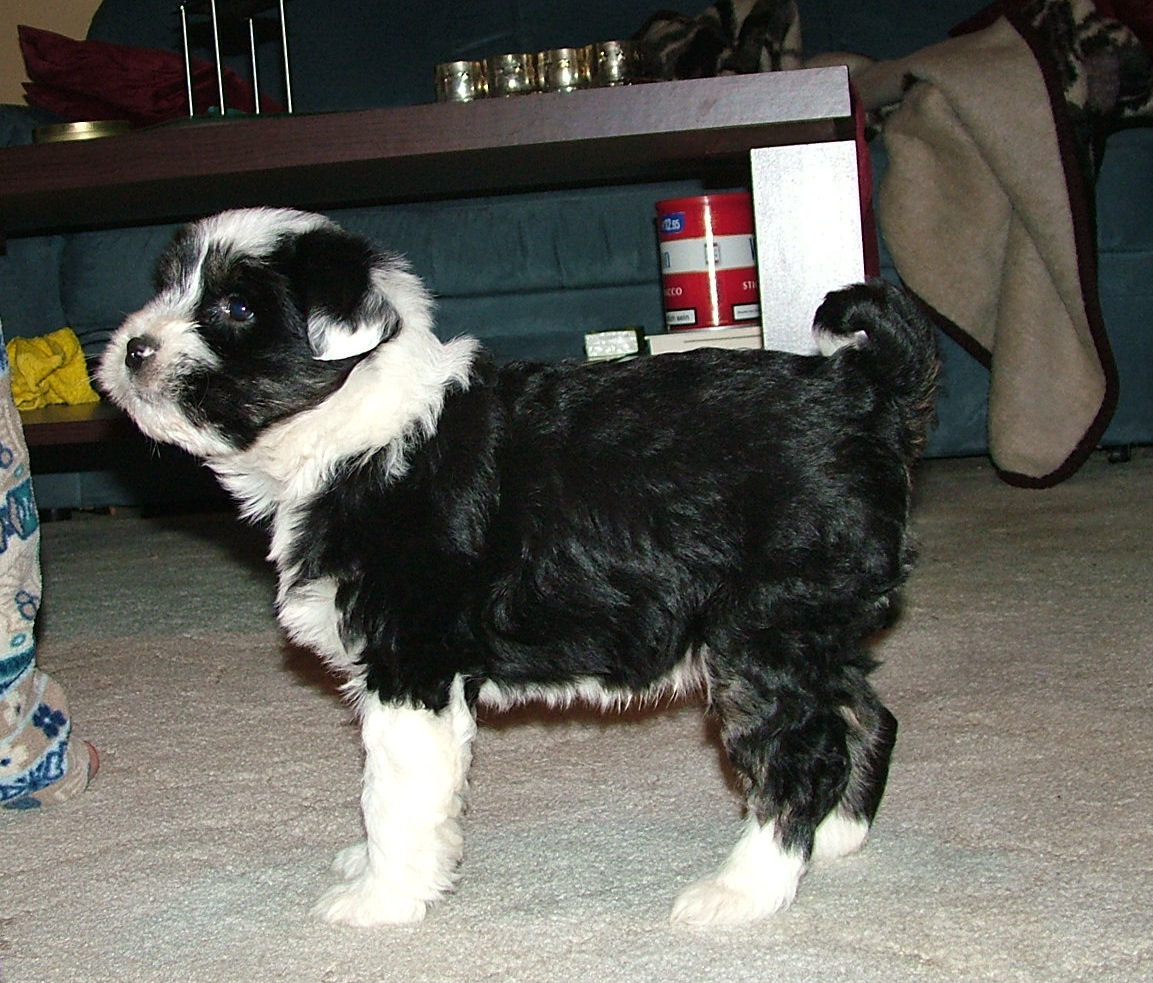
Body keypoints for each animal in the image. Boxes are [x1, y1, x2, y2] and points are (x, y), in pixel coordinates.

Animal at [97, 207, 938, 928]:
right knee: (866, 712)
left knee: (799, 749)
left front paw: (380, 897)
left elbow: (391, 794)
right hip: (812, 623)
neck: (353, 429)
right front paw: (373, 870)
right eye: (166, 284)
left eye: (237, 308)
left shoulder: (410, 663)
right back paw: (834, 836)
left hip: (762, 628)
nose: (132, 348)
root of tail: (862, 387)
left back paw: (742, 889)